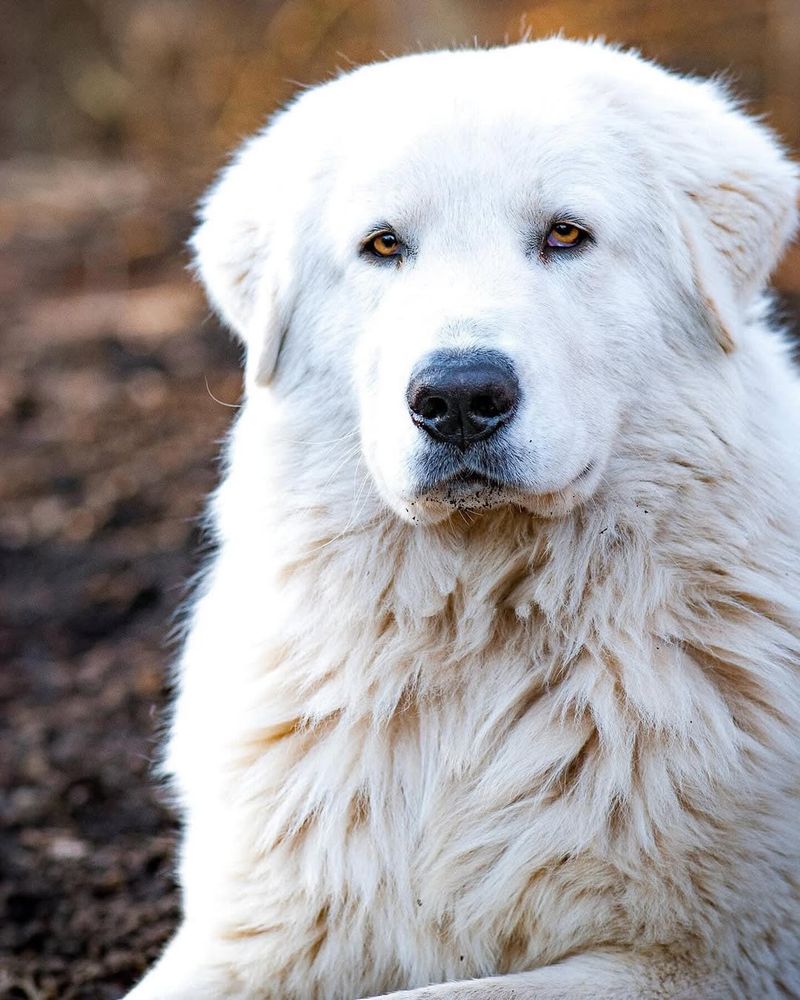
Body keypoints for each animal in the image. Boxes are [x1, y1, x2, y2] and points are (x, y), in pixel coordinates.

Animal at [128, 39, 800, 1000]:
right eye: (383, 246)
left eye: (566, 235)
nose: (457, 398)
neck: (480, 627)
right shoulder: (250, 934)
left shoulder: (704, 958)